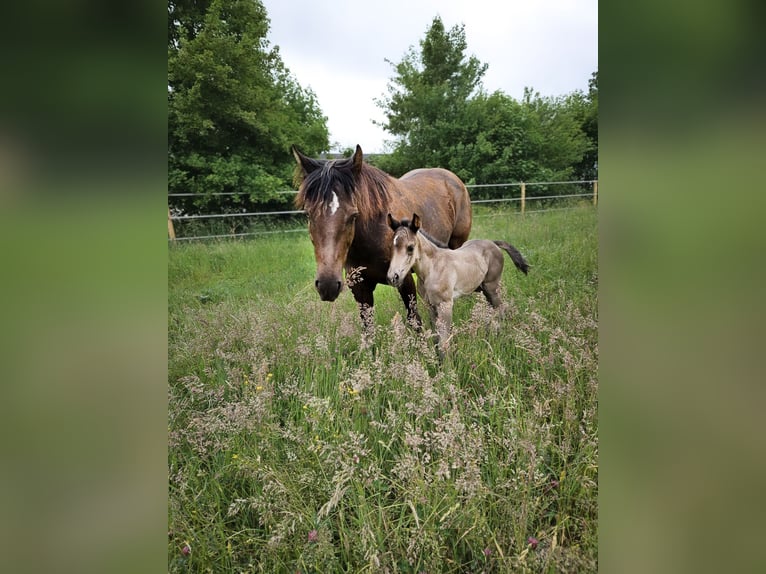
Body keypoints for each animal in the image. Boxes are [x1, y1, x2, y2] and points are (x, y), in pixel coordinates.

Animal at [292, 144, 472, 328]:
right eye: (308, 214)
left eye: (353, 215)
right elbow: (368, 327)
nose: (327, 285)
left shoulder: (404, 280)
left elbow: (414, 320)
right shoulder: (360, 286)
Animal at [387, 213, 529, 352]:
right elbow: (436, 338)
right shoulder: (430, 305)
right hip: (482, 289)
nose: (393, 277)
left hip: (492, 287)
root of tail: (492, 243)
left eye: (410, 247)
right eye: (392, 247)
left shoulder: (445, 304)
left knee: (501, 309)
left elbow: (444, 342)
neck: (432, 268)